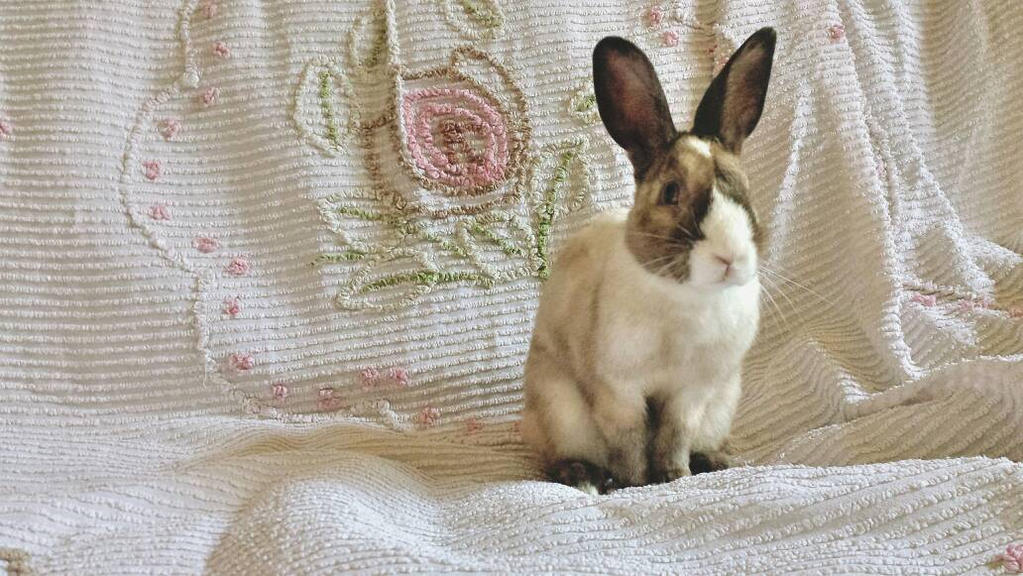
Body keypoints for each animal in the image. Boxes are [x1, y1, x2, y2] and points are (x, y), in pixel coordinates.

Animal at [520, 28, 776, 494]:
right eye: (671, 192)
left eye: (744, 190)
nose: (729, 257)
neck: (689, 298)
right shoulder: (618, 389)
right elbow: (630, 440)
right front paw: (636, 484)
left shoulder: (693, 392)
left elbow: (674, 435)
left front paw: (674, 477)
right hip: (560, 411)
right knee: (560, 456)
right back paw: (585, 477)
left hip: (723, 405)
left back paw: (714, 462)